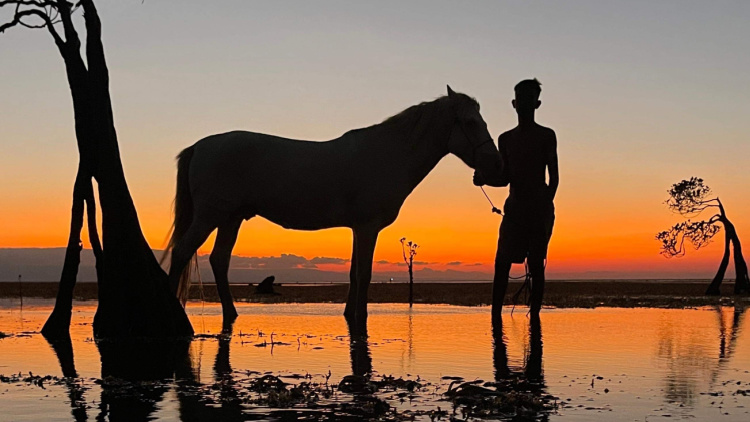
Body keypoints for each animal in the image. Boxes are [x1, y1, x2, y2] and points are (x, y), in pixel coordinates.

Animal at [164, 86, 502, 324]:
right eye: (470, 122)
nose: (495, 169)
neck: (388, 154)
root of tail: (200, 146)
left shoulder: (358, 229)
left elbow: (353, 273)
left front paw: (350, 315)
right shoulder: (367, 228)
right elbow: (363, 274)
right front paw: (360, 318)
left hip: (230, 218)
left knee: (219, 260)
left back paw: (232, 313)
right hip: (209, 216)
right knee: (182, 252)